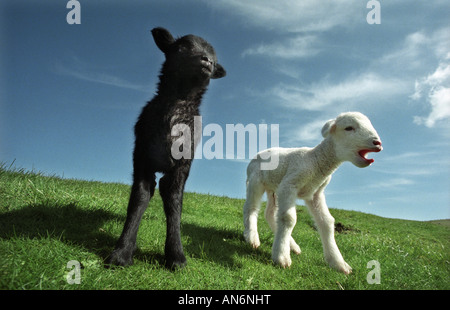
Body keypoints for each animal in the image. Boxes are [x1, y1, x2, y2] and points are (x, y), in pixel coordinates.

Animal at [244, 111, 382, 274]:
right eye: (349, 128)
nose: (377, 143)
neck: (316, 161)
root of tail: (257, 154)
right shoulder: (290, 184)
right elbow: (288, 218)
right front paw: (281, 258)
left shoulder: (315, 193)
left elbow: (327, 222)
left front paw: (338, 263)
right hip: (255, 181)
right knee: (251, 208)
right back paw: (252, 238)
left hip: (274, 187)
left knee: (270, 213)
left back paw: (292, 245)